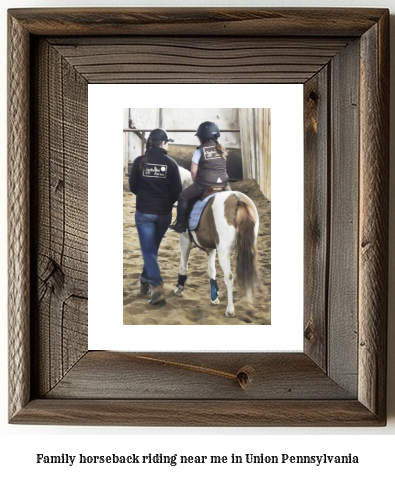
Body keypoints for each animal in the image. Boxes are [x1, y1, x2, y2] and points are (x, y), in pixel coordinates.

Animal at [174, 168, 260, 318]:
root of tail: (237, 200)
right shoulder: (211, 249)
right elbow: (211, 271)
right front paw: (214, 297)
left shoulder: (184, 241)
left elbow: (183, 266)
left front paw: (179, 289)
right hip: (248, 248)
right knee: (249, 271)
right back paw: (248, 303)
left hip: (224, 251)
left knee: (229, 276)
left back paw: (230, 310)